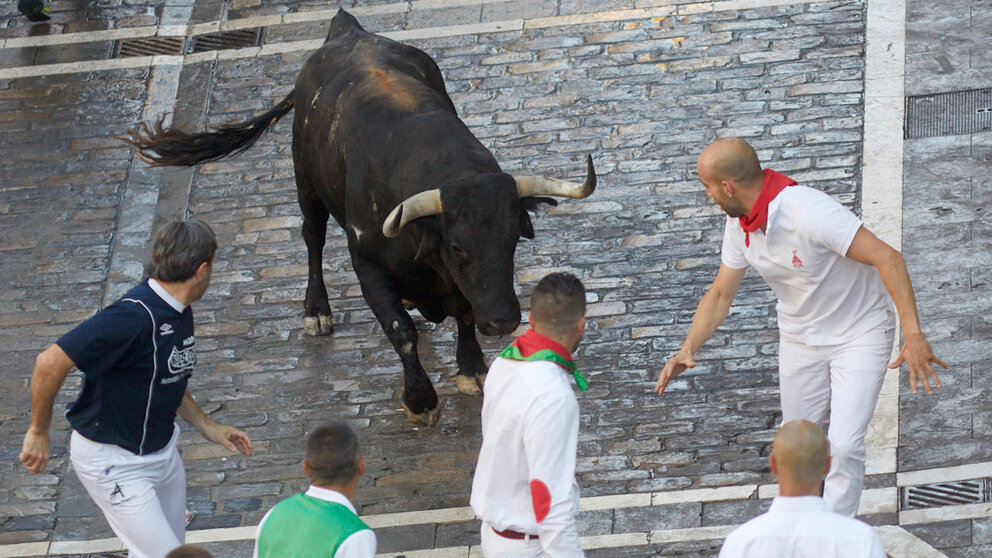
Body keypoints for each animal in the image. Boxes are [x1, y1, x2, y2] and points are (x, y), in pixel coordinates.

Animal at [122, 8, 588, 426]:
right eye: (458, 246)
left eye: (513, 239)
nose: (504, 320)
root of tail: (348, 28)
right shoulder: (368, 264)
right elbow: (401, 331)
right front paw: (420, 400)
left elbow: (464, 310)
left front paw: (471, 368)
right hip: (306, 183)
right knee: (312, 237)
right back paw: (316, 310)